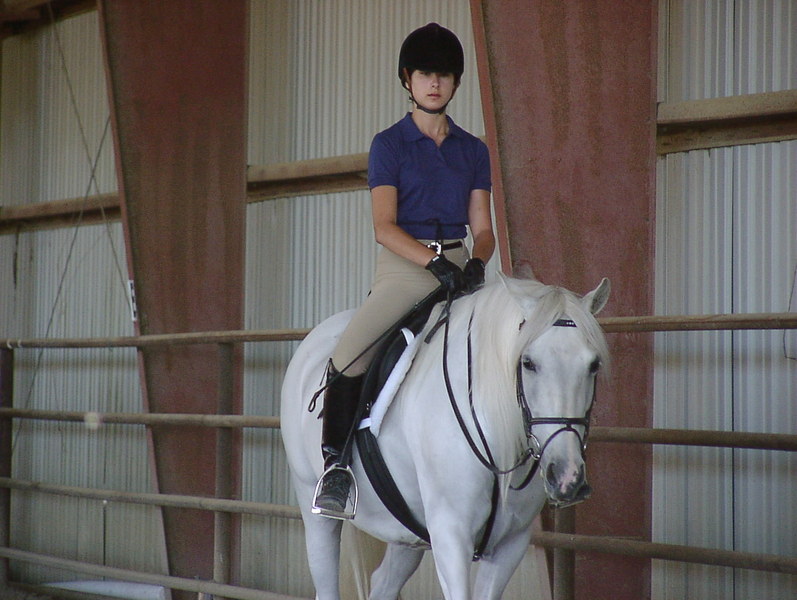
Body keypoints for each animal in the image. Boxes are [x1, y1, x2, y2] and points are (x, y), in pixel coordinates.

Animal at [280, 273, 611, 600]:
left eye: (594, 365)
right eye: (528, 362)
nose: (566, 477)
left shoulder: (511, 544)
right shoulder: (451, 535)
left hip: (407, 533)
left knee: (383, 583)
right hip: (315, 509)